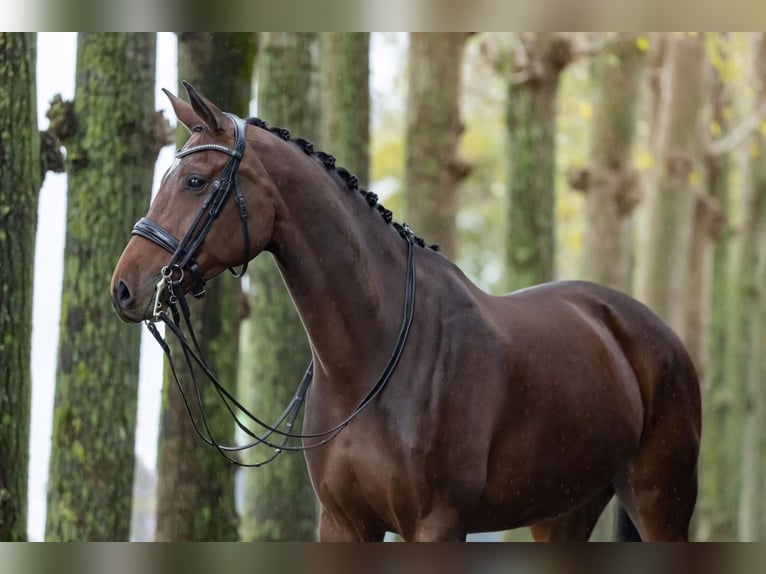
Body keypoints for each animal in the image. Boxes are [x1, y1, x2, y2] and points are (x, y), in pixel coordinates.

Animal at [109, 83, 704, 544]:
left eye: (195, 182)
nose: (124, 288)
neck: (374, 357)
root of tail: (653, 333)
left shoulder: (436, 524)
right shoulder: (344, 524)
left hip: (660, 502)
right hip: (563, 511)